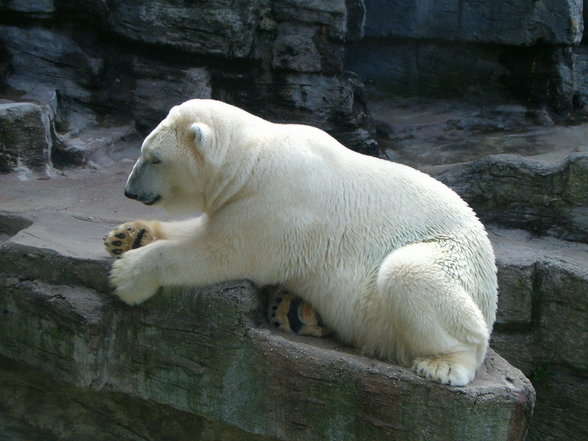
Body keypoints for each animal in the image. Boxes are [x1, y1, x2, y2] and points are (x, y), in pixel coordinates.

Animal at [105, 99, 496, 384]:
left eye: (154, 157)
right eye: (144, 151)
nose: (128, 190)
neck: (250, 162)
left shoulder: (277, 205)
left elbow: (222, 251)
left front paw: (127, 277)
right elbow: (201, 229)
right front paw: (126, 236)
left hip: (451, 259)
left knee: (412, 274)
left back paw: (444, 365)